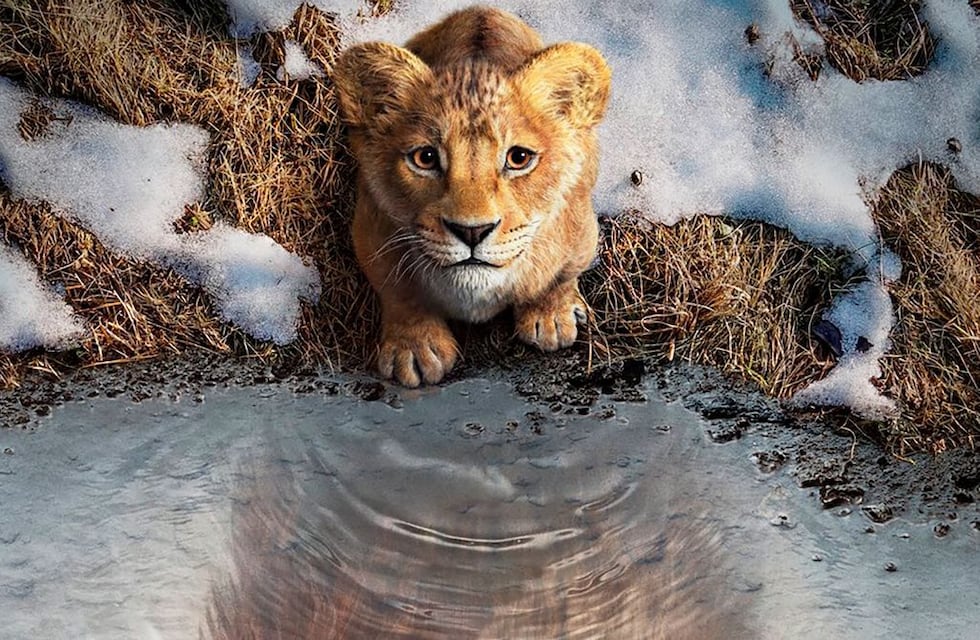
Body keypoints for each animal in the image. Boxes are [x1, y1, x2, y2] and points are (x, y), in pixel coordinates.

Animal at [334, 6, 611, 387]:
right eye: (425, 158)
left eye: (519, 158)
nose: (472, 231)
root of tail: (482, 10)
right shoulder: (371, 230)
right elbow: (400, 292)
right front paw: (414, 349)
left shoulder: (581, 231)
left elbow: (560, 276)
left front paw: (551, 317)